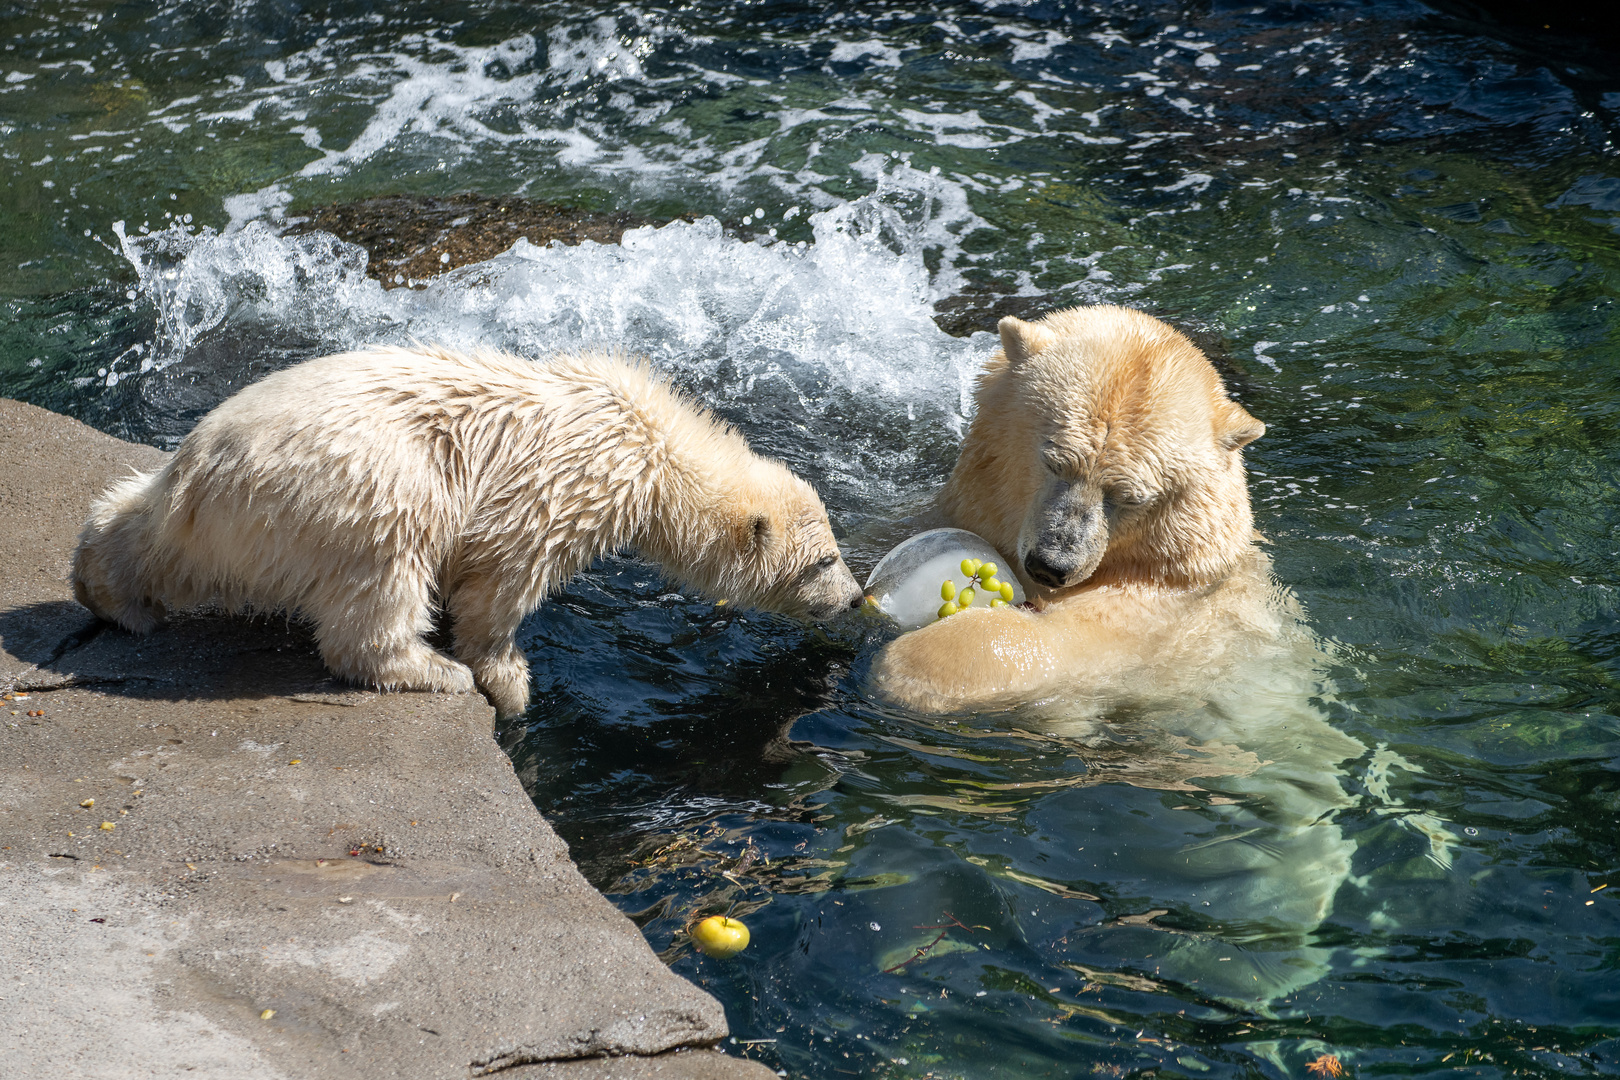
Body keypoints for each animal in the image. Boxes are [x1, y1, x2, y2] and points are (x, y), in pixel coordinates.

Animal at [77, 348, 868, 718]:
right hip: (360, 482)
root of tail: (202, 473)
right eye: (824, 562)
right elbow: (502, 575)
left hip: (205, 514)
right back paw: (428, 669)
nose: (857, 598)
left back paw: (106, 589)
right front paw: (507, 681)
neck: (651, 439)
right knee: (385, 573)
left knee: (141, 530)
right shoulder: (572, 485)